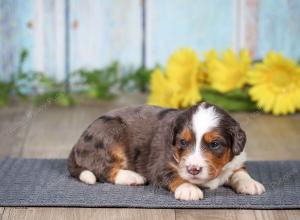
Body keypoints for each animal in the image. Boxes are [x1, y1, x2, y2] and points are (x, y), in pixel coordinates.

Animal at [68, 102, 264, 200]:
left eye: (215, 144)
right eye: (183, 142)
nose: (193, 169)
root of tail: (77, 143)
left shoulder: (236, 160)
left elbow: (239, 171)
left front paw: (250, 184)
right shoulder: (159, 165)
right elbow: (175, 175)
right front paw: (189, 189)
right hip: (110, 133)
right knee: (102, 169)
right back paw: (133, 177)